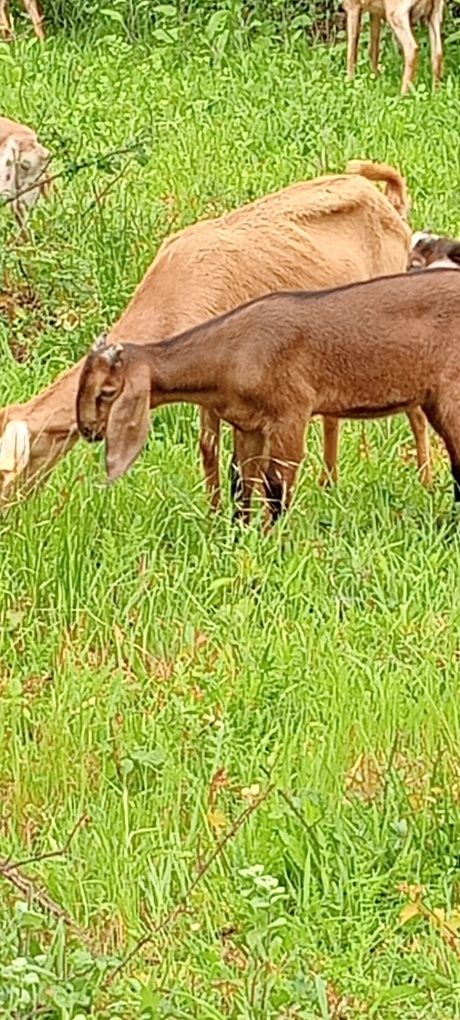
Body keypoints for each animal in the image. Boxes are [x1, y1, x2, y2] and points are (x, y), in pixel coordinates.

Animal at [0, 160, 420, 505]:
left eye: (6, 473)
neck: (178, 287)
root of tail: (387, 202)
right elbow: (209, 448)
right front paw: (214, 512)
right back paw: (329, 484)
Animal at [76, 269, 460, 526]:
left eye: (107, 392)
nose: (87, 429)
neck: (233, 352)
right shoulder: (249, 424)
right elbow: (241, 480)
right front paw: (238, 535)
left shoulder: (290, 412)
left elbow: (276, 483)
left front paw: (274, 542)